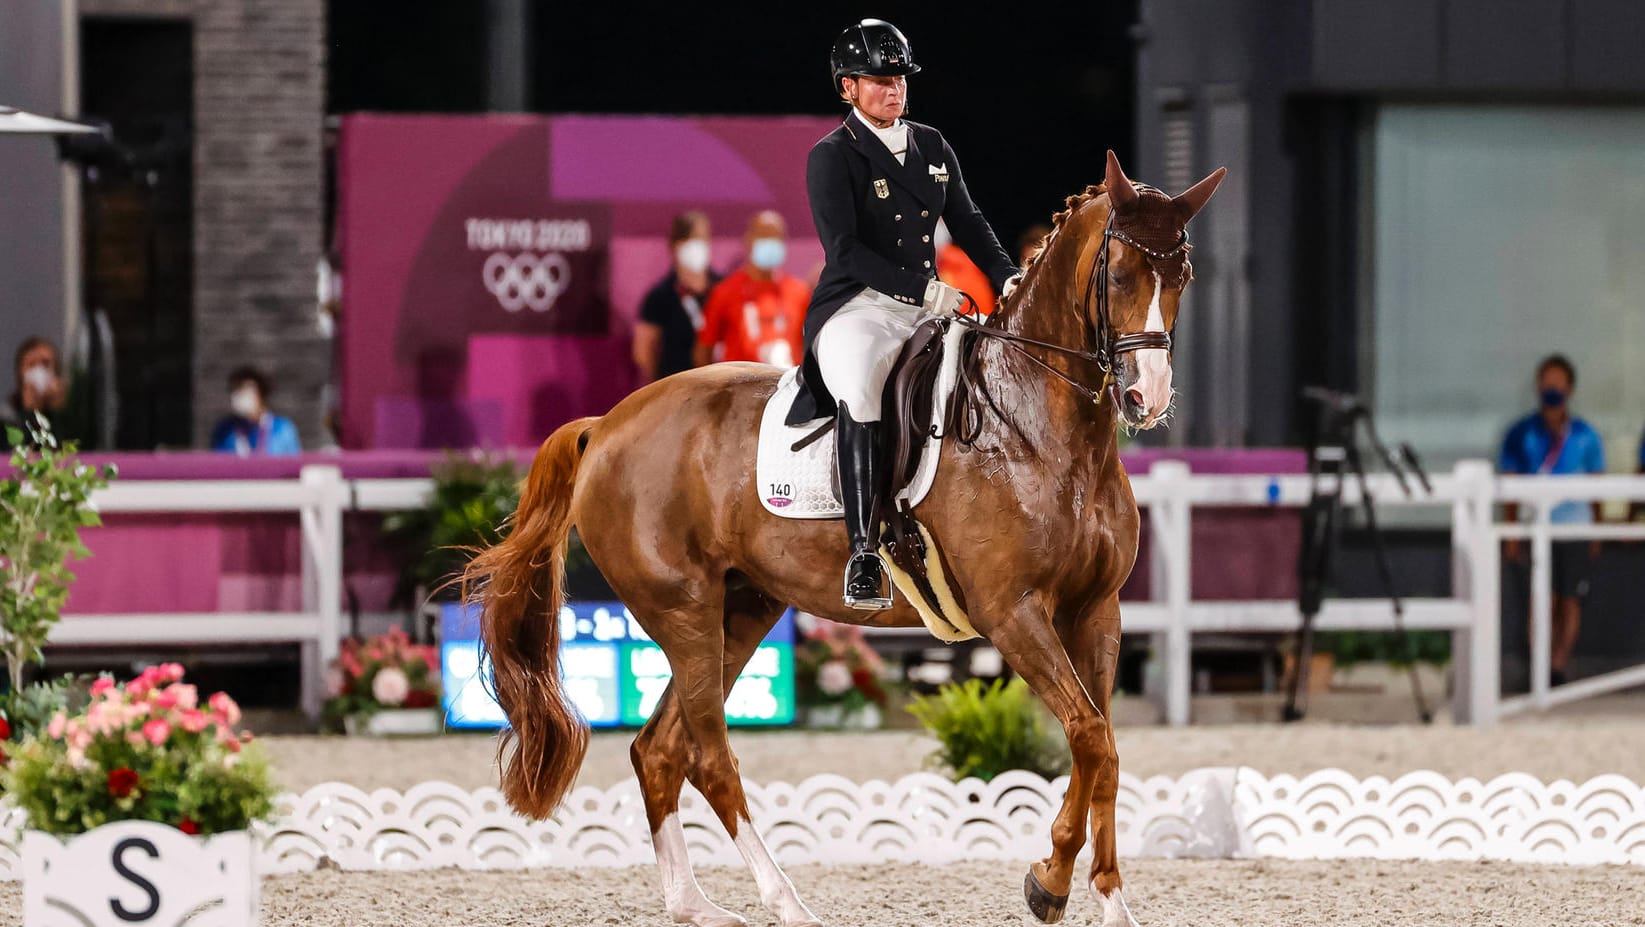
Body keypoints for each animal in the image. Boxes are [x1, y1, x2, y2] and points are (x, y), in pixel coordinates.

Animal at [463, 152, 1223, 927]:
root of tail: (606, 424)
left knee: (659, 748)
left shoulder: (1095, 610)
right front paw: (1049, 881)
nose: (1147, 398)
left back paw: (694, 904)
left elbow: (1103, 747)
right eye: (1120, 274)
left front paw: (1105, 899)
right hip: (683, 610)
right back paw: (786, 900)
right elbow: (1089, 734)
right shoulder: (1013, 613)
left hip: (741, 609)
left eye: (1183, 275)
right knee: (707, 753)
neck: (1035, 423)